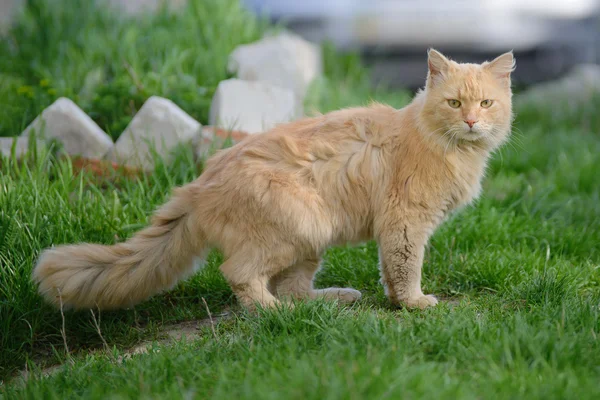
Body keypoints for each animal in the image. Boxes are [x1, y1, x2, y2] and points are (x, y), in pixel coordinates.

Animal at [31, 49, 516, 312]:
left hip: (311, 239)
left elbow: (390, 272)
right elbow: (406, 267)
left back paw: (332, 300)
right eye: (454, 103)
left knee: (294, 288)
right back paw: (271, 313)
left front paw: (398, 303)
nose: (471, 122)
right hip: (298, 227)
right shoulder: (406, 221)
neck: (446, 146)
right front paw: (414, 303)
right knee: (241, 275)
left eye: (485, 103)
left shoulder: (399, 226)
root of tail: (200, 183)